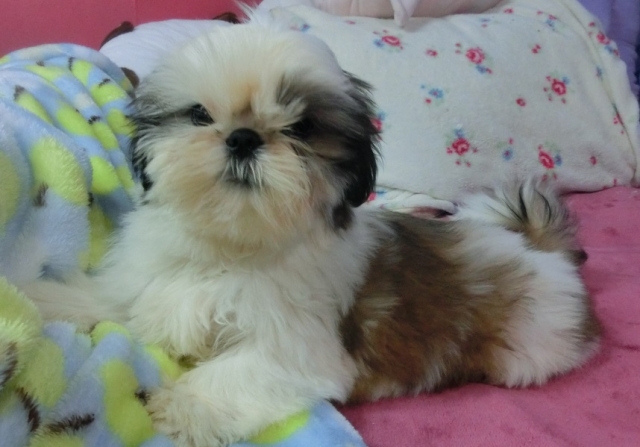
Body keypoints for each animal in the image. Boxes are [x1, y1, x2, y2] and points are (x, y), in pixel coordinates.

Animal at [21, 16, 600, 447]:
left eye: (301, 127)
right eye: (199, 115)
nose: (243, 136)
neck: (232, 247)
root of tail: (536, 246)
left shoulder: (298, 349)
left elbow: (237, 372)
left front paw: (181, 404)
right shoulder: (154, 286)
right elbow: (111, 301)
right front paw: (42, 301)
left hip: (530, 349)